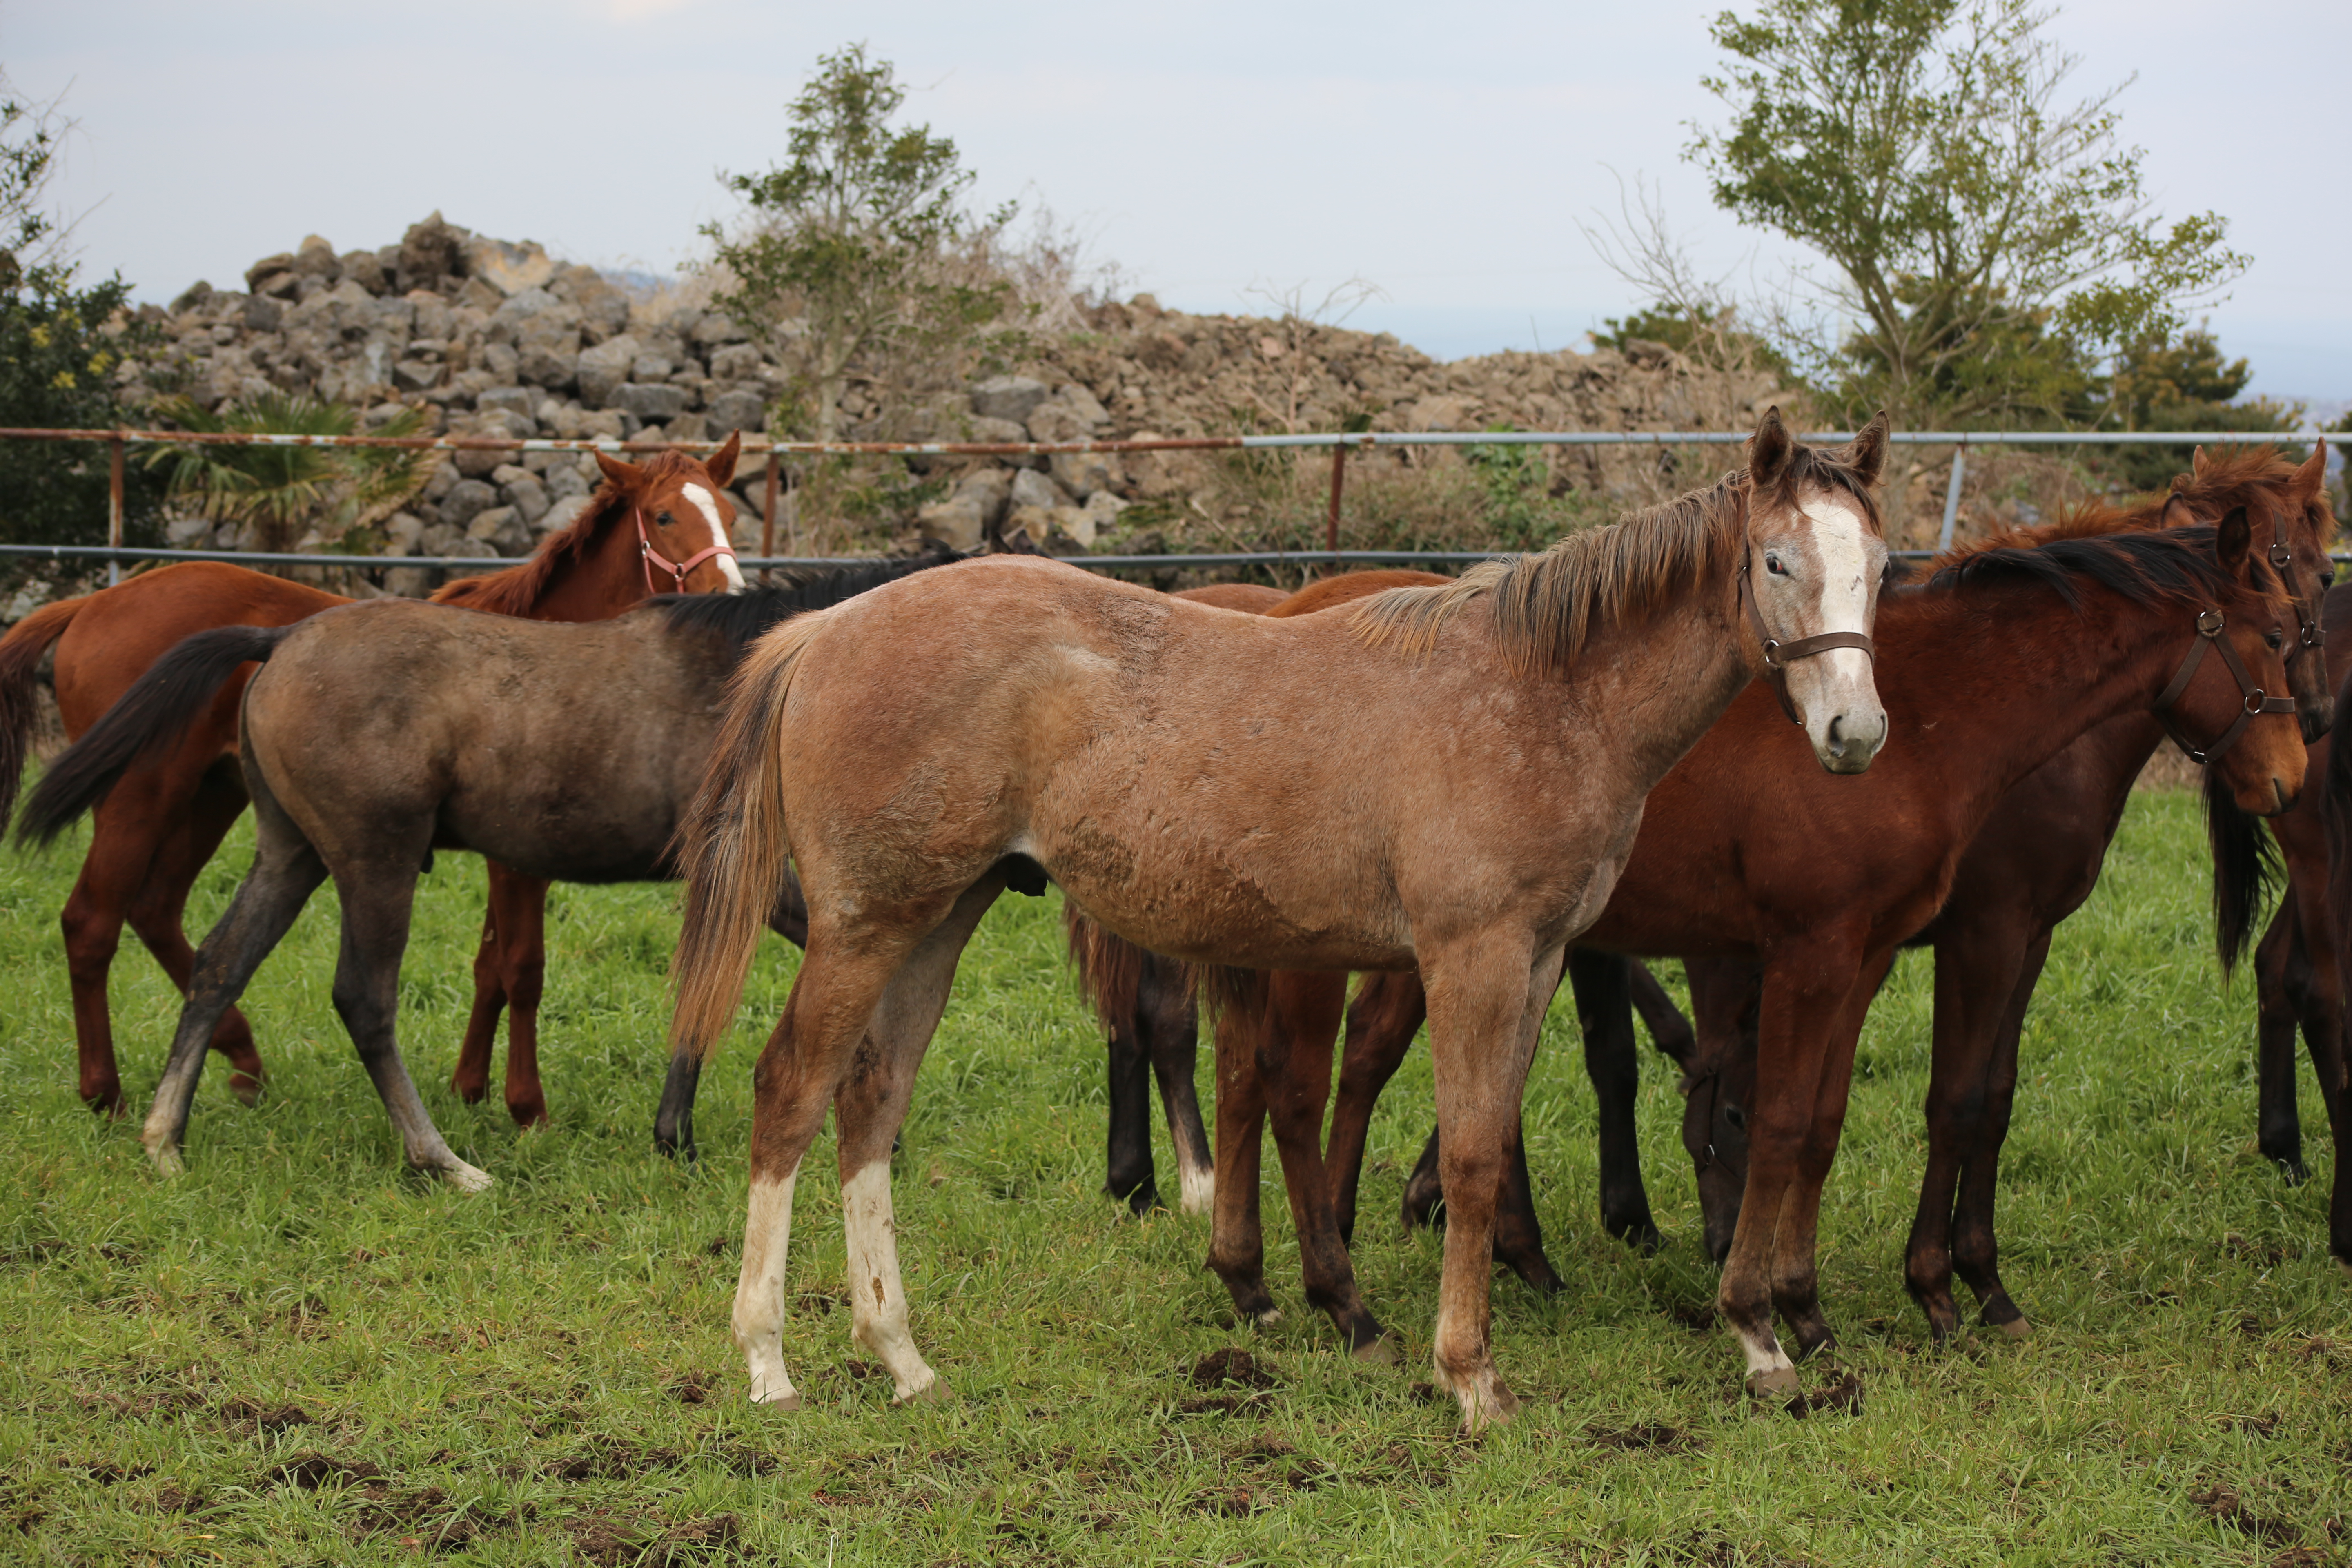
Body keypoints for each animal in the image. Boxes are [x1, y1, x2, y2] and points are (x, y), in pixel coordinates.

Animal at [0, 435, 743, 1123]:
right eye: (665, 516)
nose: (731, 594)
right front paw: (525, 1106)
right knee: (92, 922)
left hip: (214, 798)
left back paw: (242, 1057)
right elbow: (522, 969)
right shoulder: (519, 864)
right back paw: (106, 1092)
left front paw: (469, 1087)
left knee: (158, 910)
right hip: (139, 801)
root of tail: (92, 605)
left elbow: (488, 969)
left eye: (729, 510)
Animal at [11, 552, 964, 1189]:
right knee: (363, 998)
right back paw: (443, 1160)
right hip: (377, 860)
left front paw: (678, 1138)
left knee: (218, 963)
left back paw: (165, 1137)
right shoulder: (750, 880)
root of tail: (279, 638)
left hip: (292, 855)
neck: (751, 675)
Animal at [668, 409, 1891, 1439]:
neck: (1547, 693)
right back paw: (768, 1361)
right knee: (789, 1091)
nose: (1855, 733)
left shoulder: (1541, 960)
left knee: (871, 1101)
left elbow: (1484, 1137)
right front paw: (1467, 1377)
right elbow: (1469, 1152)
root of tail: (825, 629)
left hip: (937, 920)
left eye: (1878, 567)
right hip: (866, 927)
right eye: (1776, 561)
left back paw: (900, 1356)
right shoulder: (1473, 957)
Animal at [1223, 510, 2305, 1401]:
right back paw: (1338, 1277)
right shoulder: (1858, 947)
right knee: (1306, 1076)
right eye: (2274, 636)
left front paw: (1810, 1303)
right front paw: (1801, 1312)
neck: (1924, 718)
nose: (2292, 779)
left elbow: (1826, 1124)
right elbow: (1811, 1121)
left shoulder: (1871, 953)